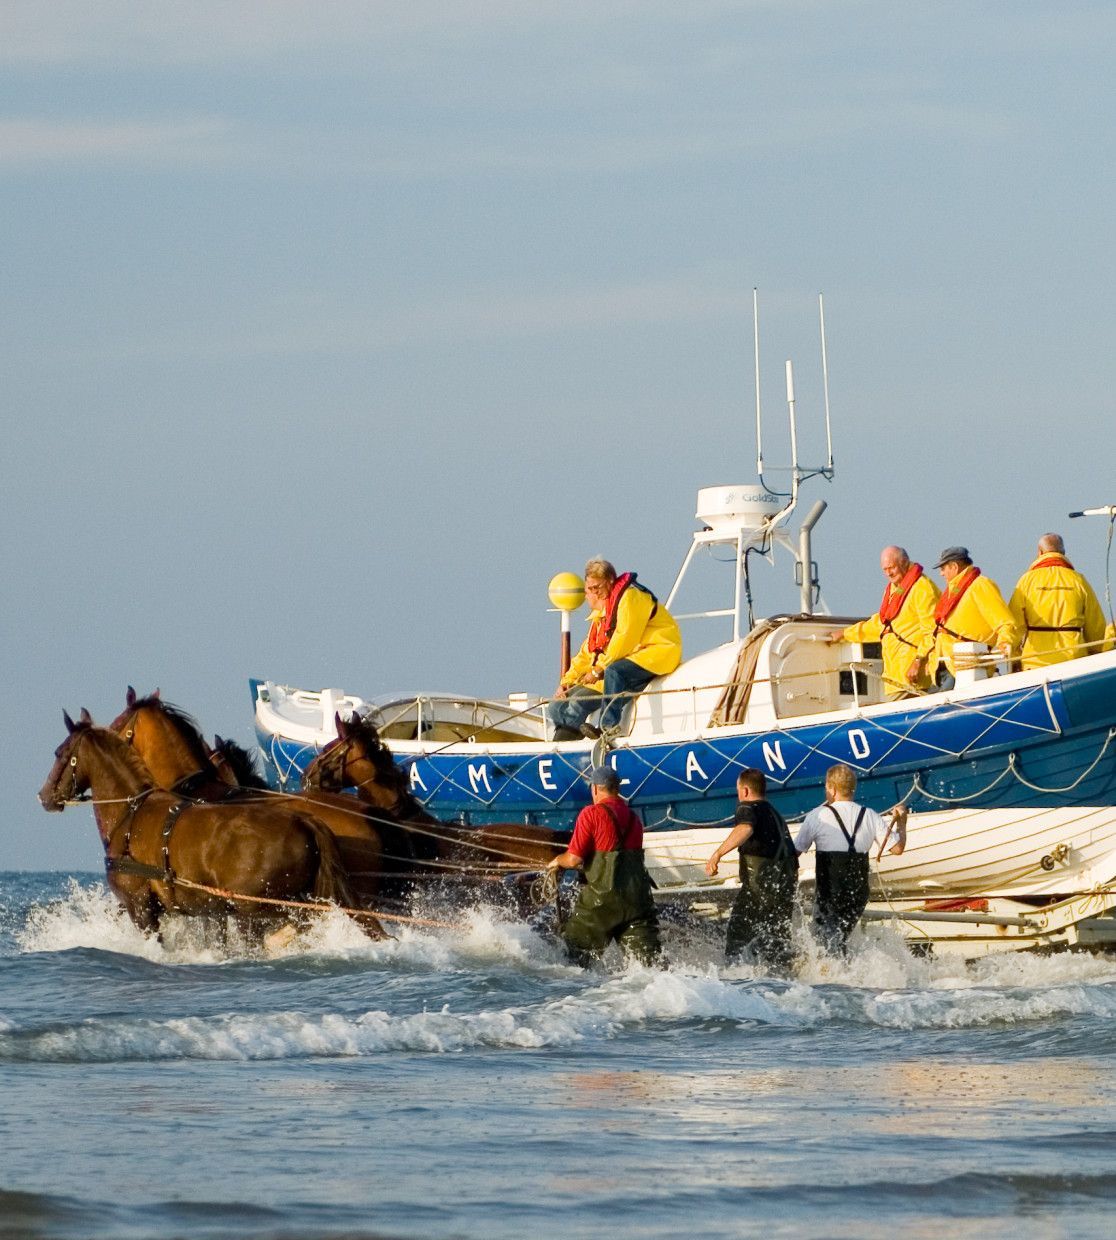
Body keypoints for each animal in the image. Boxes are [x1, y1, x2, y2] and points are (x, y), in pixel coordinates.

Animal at [37, 719, 386, 937]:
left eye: (60, 753)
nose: (44, 795)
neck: (130, 814)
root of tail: (308, 822)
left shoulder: (140, 907)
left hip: (257, 909)